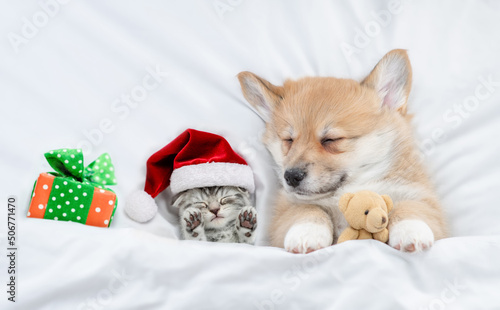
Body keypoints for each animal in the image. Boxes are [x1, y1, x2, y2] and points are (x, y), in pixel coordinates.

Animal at [238, 49, 450, 254]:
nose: (291, 176)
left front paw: (412, 231)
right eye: (288, 140)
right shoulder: (285, 212)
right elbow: (307, 210)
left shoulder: (421, 199)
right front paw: (307, 233)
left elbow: (409, 207)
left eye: (331, 140)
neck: (352, 189)